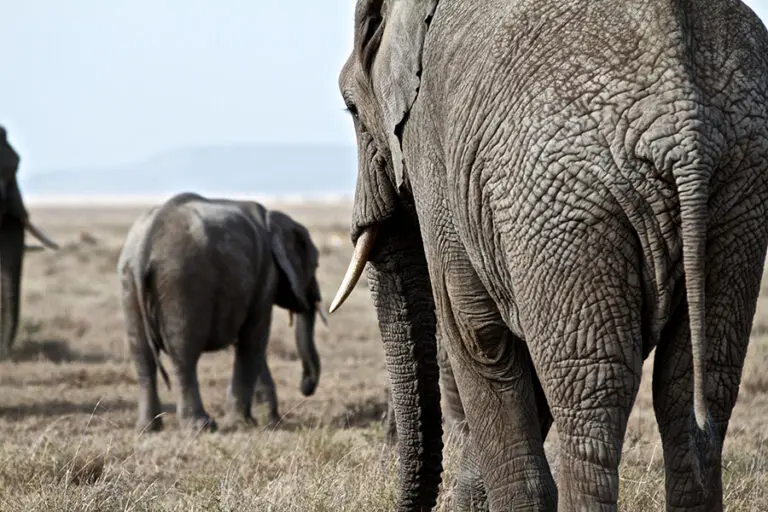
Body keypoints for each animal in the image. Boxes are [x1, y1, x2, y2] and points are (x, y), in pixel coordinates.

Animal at [117, 192, 326, 432]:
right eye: (316, 265)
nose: (305, 386)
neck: (272, 218)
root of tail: (144, 246)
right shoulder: (265, 276)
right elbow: (254, 339)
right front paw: (244, 423)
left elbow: (249, 344)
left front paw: (269, 421)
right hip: (182, 281)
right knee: (184, 355)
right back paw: (202, 426)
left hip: (129, 281)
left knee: (142, 355)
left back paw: (148, 428)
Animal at [329, 0, 768, 510]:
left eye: (351, 107)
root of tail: (683, 124)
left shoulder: (433, 148)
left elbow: (476, 331)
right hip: (738, 190)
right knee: (694, 389)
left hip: (565, 195)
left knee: (591, 394)